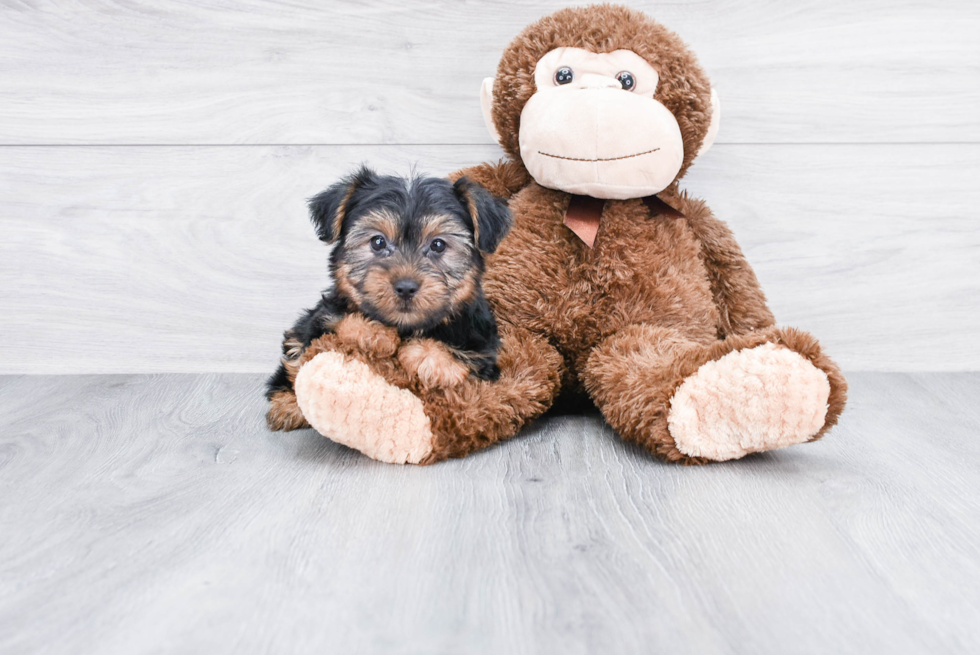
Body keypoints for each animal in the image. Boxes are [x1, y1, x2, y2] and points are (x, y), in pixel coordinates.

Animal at [266, 167, 512, 430]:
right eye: (378, 241)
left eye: (438, 245)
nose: (405, 287)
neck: (406, 327)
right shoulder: (322, 316)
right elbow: (336, 321)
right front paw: (375, 333)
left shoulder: (484, 352)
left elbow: (462, 358)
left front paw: (426, 357)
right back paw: (287, 404)